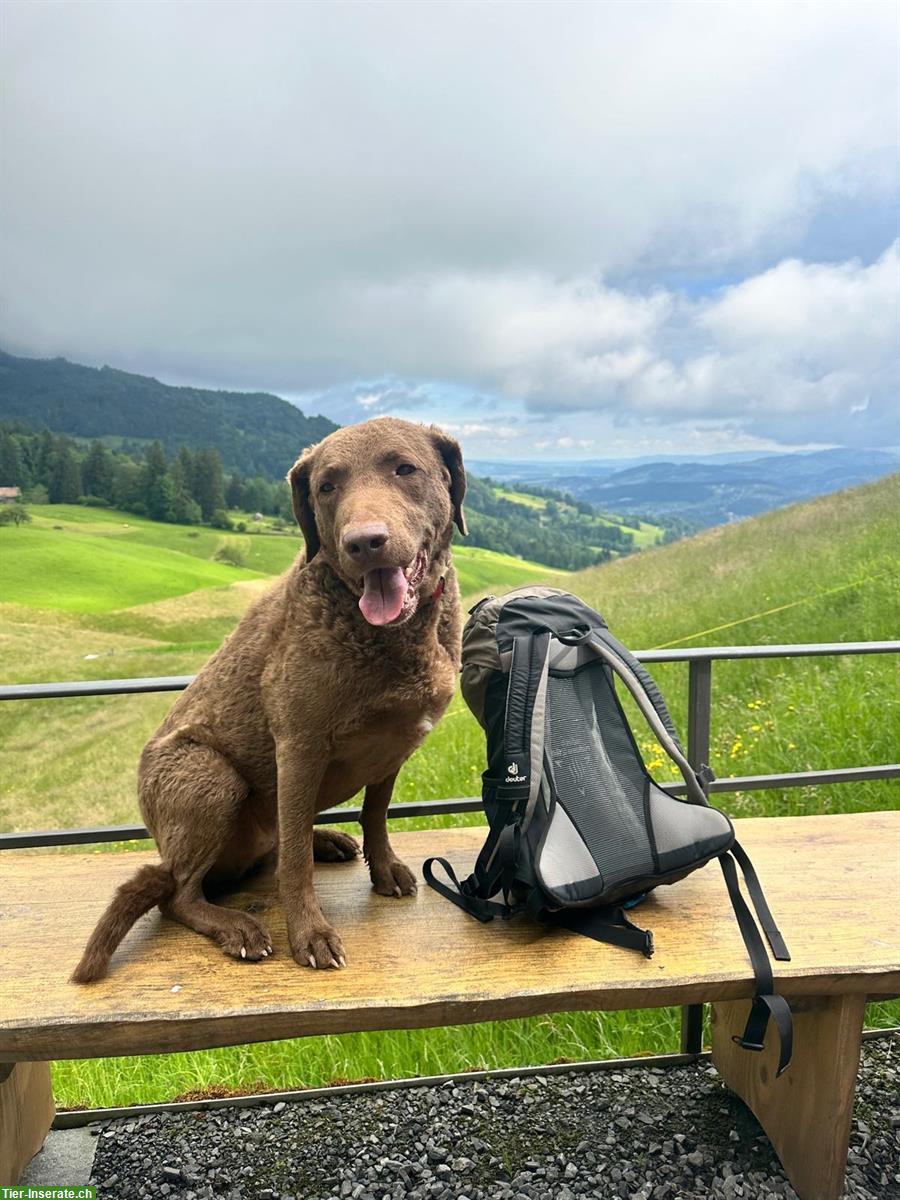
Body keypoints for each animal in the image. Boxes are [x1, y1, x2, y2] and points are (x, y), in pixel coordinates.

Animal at [73, 417, 468, 979]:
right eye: (327, 486)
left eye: (404, 468)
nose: (364, 542)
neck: (388, 634)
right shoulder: (299, 744)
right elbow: (295, 866)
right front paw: (310, 934)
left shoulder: (394, 746)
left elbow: (375, 814)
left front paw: (385, 869)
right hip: (210, 776)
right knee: (180, 894)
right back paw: (238, 927)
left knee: (276, 842)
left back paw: (326, 841)